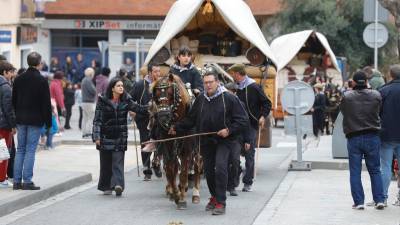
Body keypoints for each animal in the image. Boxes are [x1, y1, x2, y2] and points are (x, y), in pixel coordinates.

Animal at [152, 73, 205, 209]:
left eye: (170, 92)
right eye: (156, 94)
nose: (163, 116)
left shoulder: (186, 146)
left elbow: (184, 170)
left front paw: (181, 199)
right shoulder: (168, 144)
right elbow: (171, 168)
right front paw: (175, 194)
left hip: (197, 146)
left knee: (197, 164)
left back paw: (195, 194)